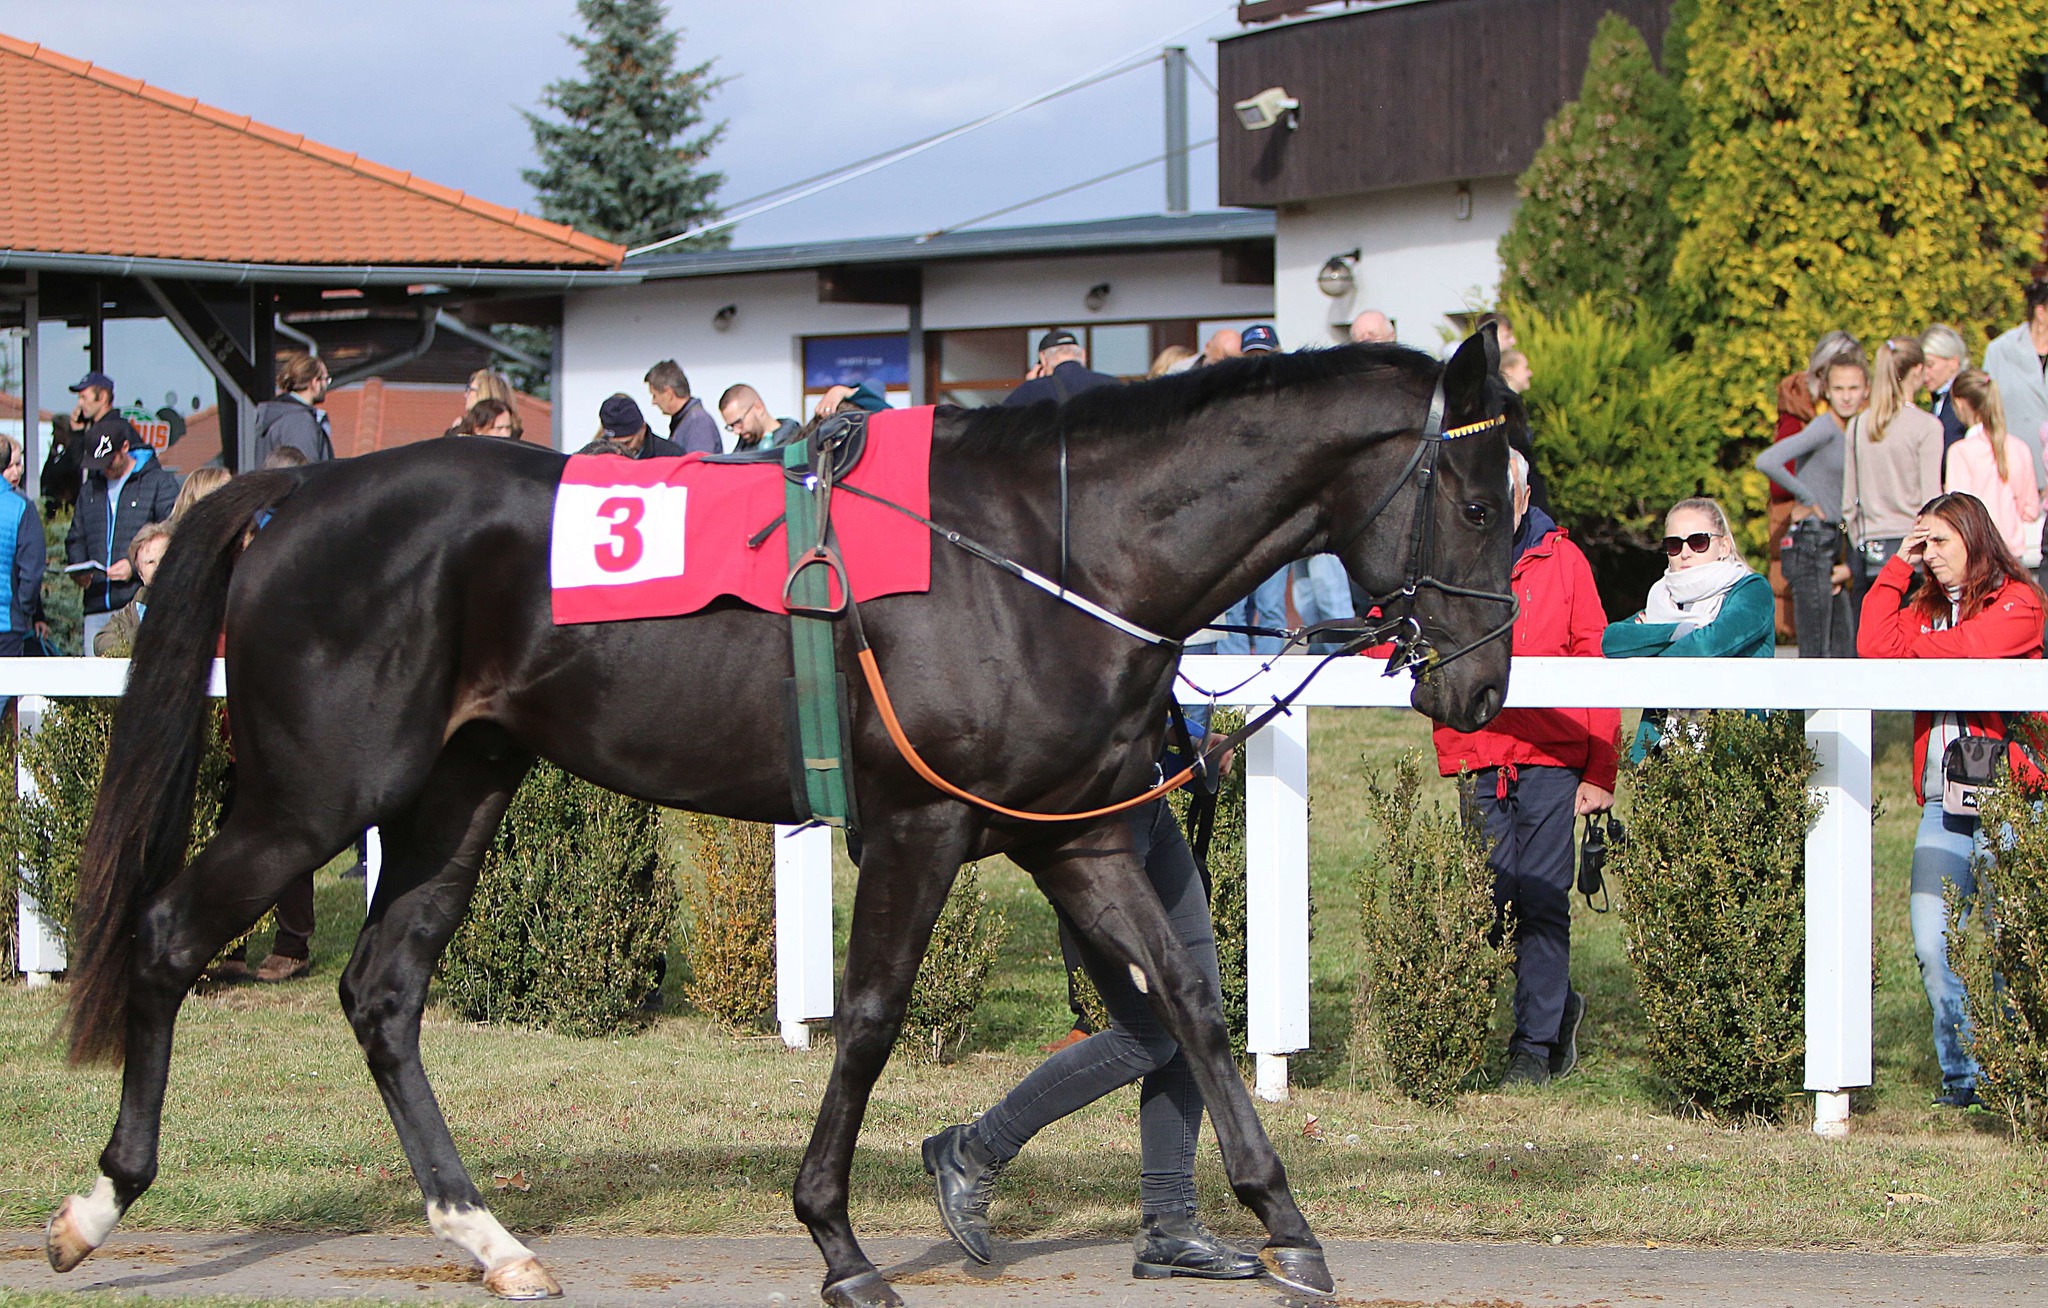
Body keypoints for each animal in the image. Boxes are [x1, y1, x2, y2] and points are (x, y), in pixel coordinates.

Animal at [44, 329, 1523, 1308]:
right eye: (1470, 496)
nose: (1482, 682)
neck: (1045, 555)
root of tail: (295, 493)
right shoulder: (921, 827)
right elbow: (868, 1019)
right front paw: (837, 1239)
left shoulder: (1077, 831)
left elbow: (1193, 1008)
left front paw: (1286, 1222)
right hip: (317, 794)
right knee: (169, 938)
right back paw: (95, 1205)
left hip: (461, 789)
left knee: (384, 991)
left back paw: (486, 1236)